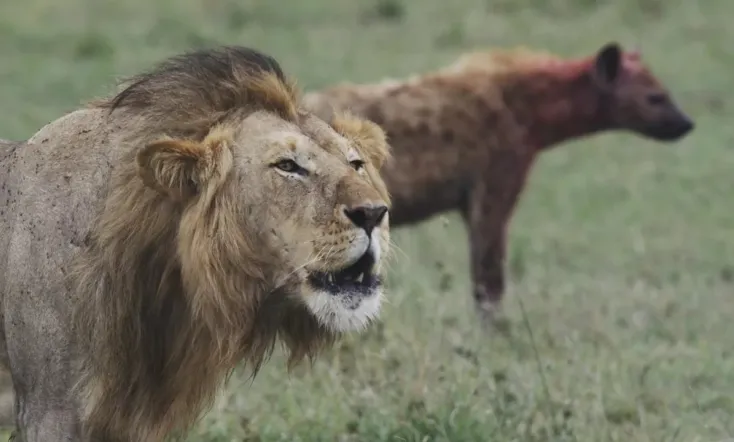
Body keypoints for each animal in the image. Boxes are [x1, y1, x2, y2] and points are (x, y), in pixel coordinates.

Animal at [302, 41, 694, 326]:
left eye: (665, 91)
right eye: (655, 97)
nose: (687, 123)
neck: (528, 108)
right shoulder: (496, 178)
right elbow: (489, 270)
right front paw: (495, 331)